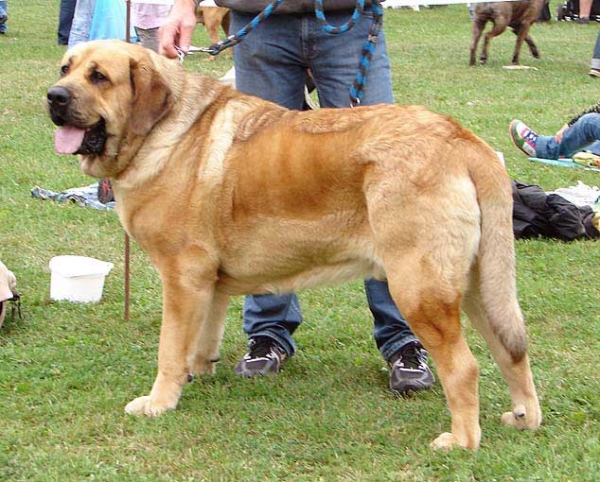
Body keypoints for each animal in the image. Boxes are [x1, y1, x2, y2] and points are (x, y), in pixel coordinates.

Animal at [48, 39, 544, 450]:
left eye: (99, 77)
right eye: (66, 68)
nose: (54, 96)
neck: (162, 131)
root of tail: (463, 140)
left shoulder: (182, 276)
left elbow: (169, 348)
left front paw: (159, 401)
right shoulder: (208, 282)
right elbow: (202, 336)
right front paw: (199, 374)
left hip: (418, 288)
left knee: (464, 367)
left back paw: (460, 441)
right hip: (479, 284)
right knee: (511, 350)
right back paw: (524, 417)